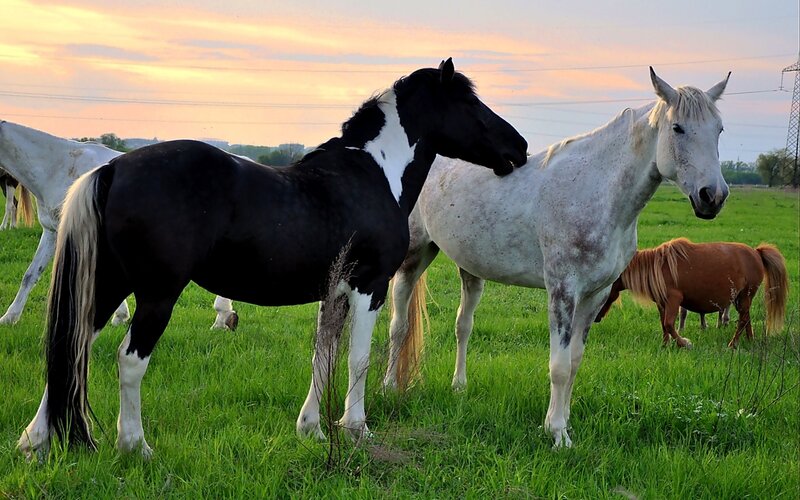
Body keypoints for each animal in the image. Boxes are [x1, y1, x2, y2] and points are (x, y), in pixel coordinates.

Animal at [0, 121, 236, 329]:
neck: (60, 166)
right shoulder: (52, 232)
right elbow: (30, 275)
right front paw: (9, 318)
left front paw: (119, 316)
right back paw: (223, 318)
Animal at [382, 68, 731, 448]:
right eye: (677, 128)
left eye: (719, 129)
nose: (713, 197)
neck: (596, 193)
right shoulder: (563, 291)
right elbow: (559, 365)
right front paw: (558, 434)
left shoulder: (596, 295)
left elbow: (574, 361)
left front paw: (561, 422)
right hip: (414, 257)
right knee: (399, 326)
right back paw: (389, 387)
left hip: (470, 269)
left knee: (463, 325)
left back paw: (459, 387)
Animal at [595, 238, 788, 349]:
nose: (595, 318)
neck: (657, 268)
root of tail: (756, 252)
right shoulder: (662, 303)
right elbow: (663, 324)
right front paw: (665, 345)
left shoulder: (674, 300)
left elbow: (669, 324)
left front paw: (683, 343)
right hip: (740, 298)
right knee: (746, 318)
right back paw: (749, 340)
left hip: (745, 295)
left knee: (742, 320)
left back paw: (733, 344)